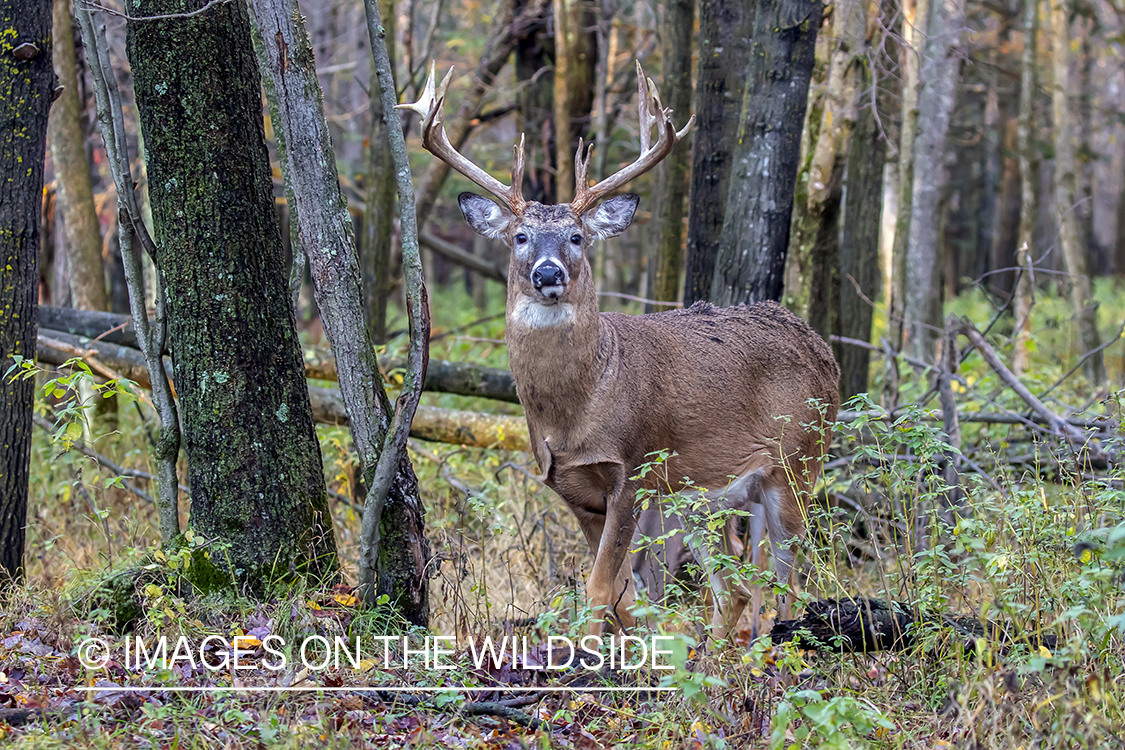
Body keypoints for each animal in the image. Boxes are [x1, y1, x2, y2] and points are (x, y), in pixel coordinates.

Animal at [400, 61, 841, 643]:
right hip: (699, 498)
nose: (548, 274)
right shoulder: (571, 489)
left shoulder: (633, 470)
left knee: (791, 578)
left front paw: (584, 658)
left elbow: (598, 590)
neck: (577, 411)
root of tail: (822, 348)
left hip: (798, 462)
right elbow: (623, 595)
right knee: (737, 590)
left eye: (577, 236)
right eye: (519, 236)